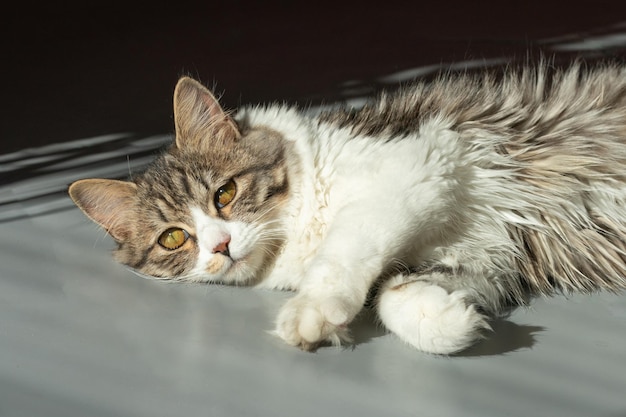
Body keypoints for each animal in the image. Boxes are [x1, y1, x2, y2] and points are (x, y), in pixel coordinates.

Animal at [67, 62, 624, 354]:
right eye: (174, 238)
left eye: (223, 194)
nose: (221, 245)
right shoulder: (481, 255)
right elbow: (394, 295)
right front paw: (449, 322)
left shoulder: (416, 163)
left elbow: (344, 254)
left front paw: (311, 313)